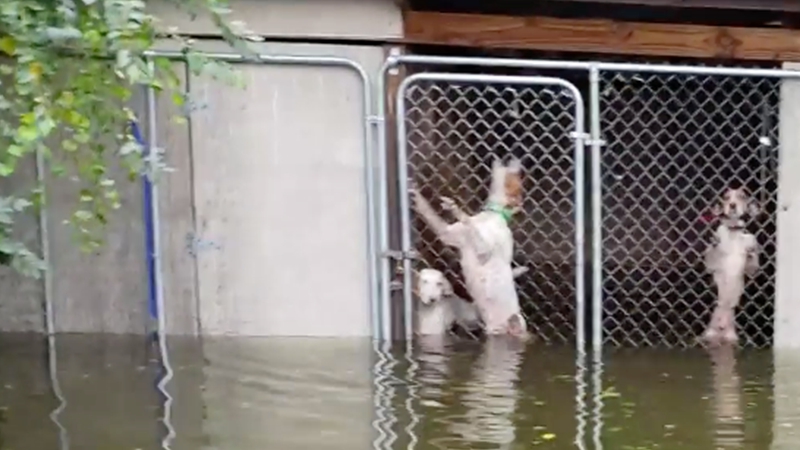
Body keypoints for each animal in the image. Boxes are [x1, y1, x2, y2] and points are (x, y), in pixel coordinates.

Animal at [410, 157, 529, 338]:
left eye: (514, 183)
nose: (513, 158)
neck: (493, 214)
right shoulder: (446, 233)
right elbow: (429, 212)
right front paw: (416, 195)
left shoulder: (483, 248)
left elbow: (469, 223)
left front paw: (455, 209)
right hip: (491, 329)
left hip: (516, 324)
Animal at [702, 187, 760, 345]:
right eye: (726, 197)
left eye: (742, 196)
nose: (732, 205)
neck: (733, 231)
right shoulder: (710, 264)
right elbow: (713, 251)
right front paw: (715, 242)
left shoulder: (752, 269)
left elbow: (752, 260)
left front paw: (751, 251)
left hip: (733, 338)